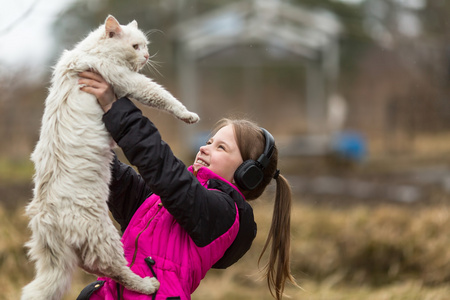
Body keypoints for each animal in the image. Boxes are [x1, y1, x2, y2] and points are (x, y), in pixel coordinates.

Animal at [22, 15, 199, 300]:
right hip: (105, 237)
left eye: (145, 46)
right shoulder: (128, 81)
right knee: (114, 270)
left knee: (87, 268)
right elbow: (163, 96)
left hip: (63, 257)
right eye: (136, 46)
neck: (90, 50)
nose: (147, 56)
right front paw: (189, 115)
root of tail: (46, 219)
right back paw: (148, 284)